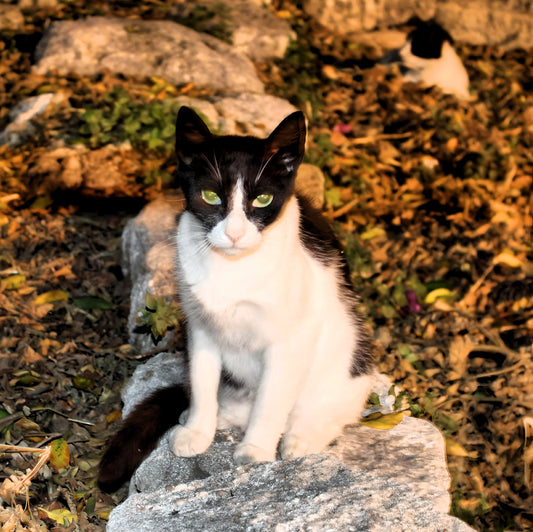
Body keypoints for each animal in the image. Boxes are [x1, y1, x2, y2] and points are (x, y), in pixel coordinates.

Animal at [100, 106, 374, 492]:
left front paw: (256, 449)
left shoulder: (291, 337)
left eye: (262, 199)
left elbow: (271, 398)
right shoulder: (199, 326)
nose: (234, 233)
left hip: (347, 358)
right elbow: (201, 380)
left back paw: (300, 437)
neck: (231, 268)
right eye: (211, 196)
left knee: (330, 408)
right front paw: (198, 429)